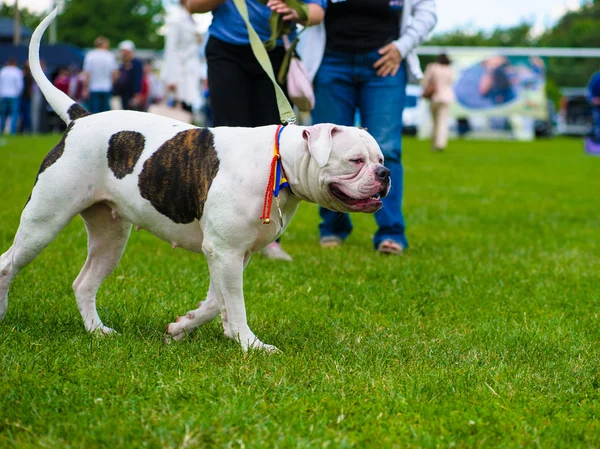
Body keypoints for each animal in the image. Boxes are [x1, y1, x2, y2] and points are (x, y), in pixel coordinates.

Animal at [0, 9, 392, 350]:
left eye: (381, 160)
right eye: (355, 161)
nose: (385, 174)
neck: (281, 162)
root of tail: (80, 119)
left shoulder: (231, 252)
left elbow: (217, 301)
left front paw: (185, 327)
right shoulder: (225, 250)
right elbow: (234, 302)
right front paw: (251, 345)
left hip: (110, 236)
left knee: (84, 283)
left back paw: (97, 331)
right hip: (44, 221)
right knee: (8, 263)